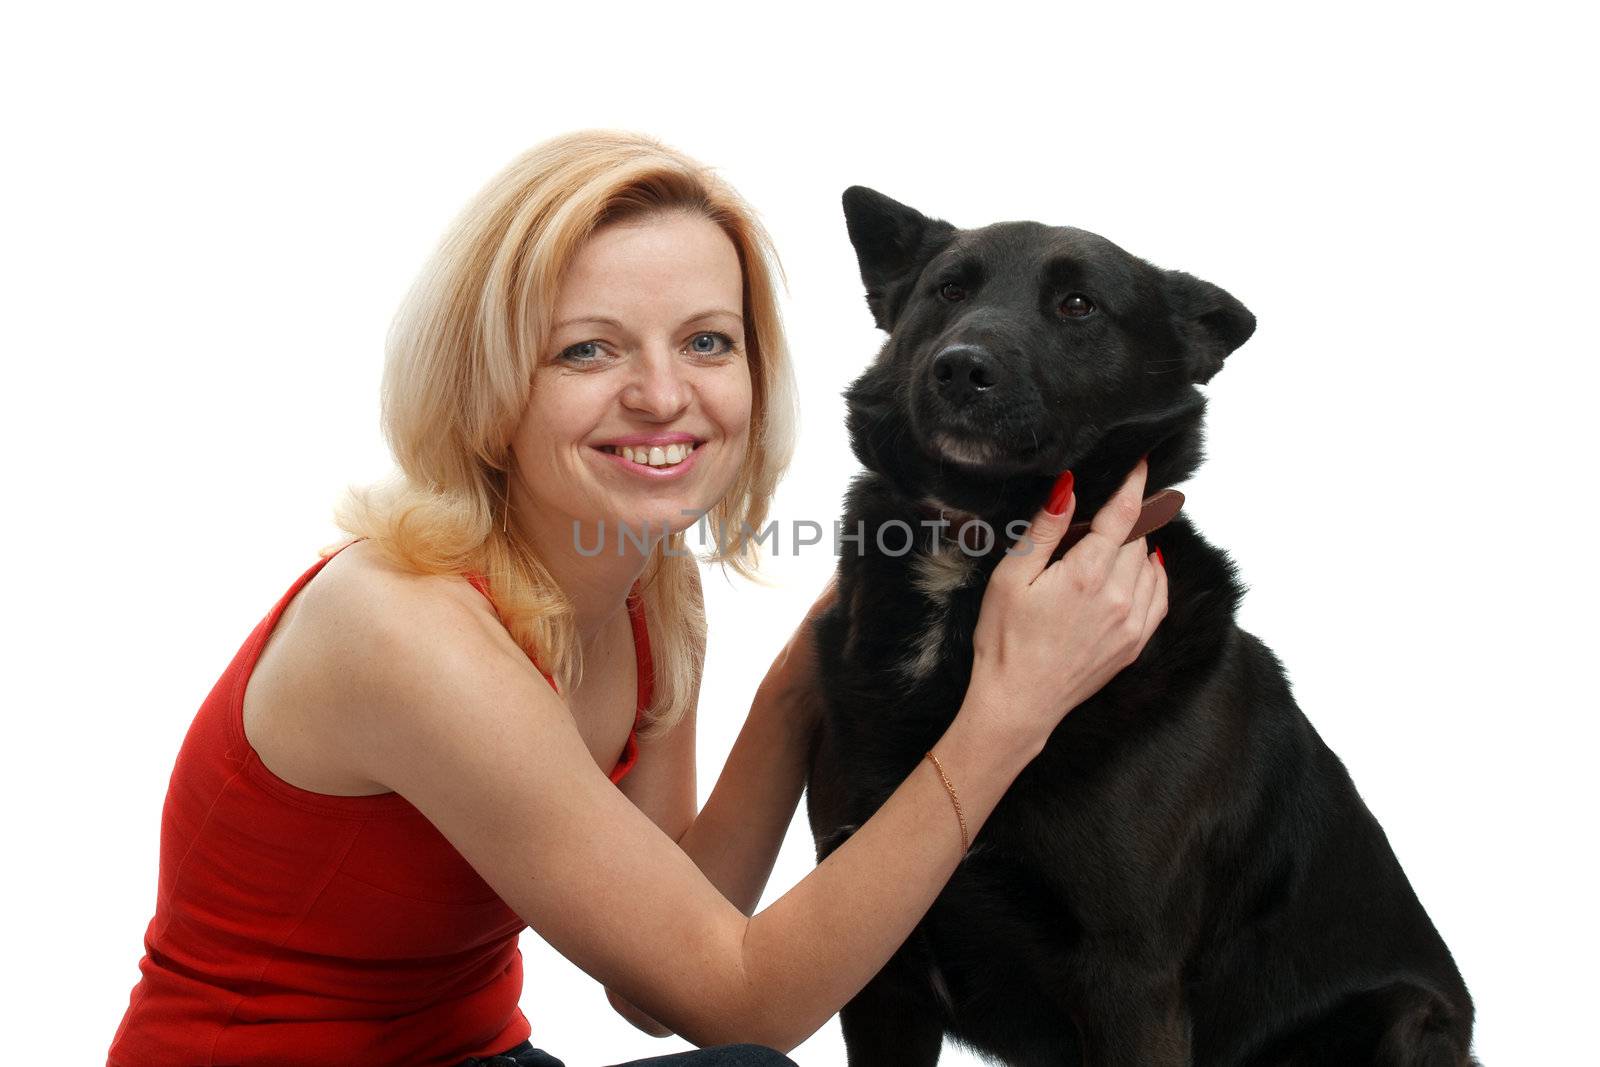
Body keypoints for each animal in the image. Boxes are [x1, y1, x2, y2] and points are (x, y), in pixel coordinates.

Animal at [800, 187, 1472, 1062]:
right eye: (949, 289)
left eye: (1078, 305)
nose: (961, 367)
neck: (971, 546)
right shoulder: (876, 966)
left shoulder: (1131, 978)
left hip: (1405, 1017)